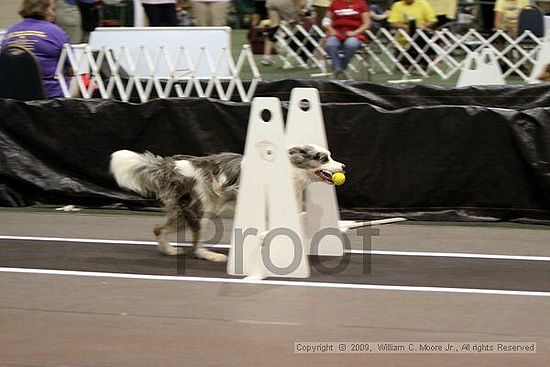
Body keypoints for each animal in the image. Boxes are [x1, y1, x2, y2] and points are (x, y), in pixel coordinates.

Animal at [110, 145, 348, 264]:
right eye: (323, 158)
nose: (344, 166)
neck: (291, 171)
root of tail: (171, 164)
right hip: (201, 210)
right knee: (195, 244)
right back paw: (209, 255)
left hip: (184, 212)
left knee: (158, 229)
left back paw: (169, 250)